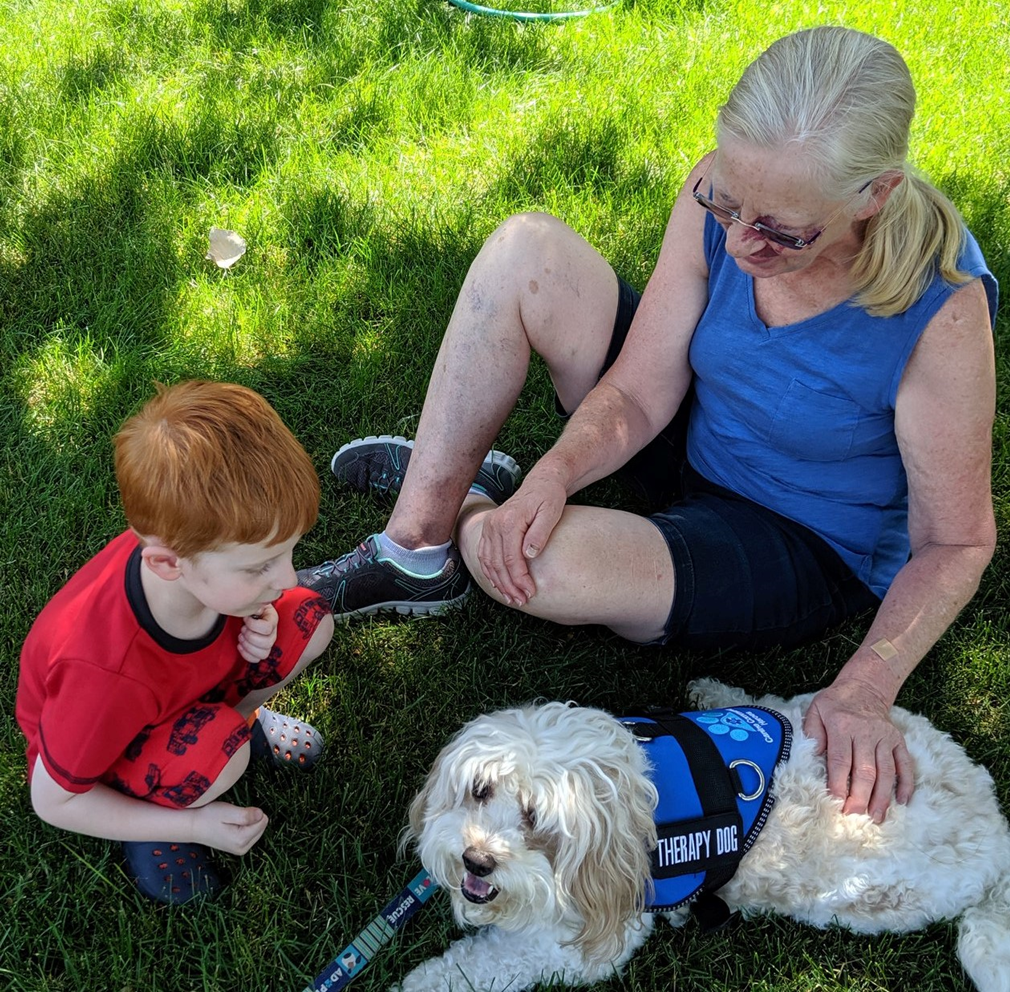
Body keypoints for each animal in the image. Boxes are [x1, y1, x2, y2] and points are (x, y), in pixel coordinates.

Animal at [395, 678, 1010, 992]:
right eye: (479, 791)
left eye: (537, 821)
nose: (476, 860)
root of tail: (996, 824)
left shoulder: (583, 943)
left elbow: (475, 968)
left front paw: (417, 983)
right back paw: (716, 696)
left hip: (867, 901)